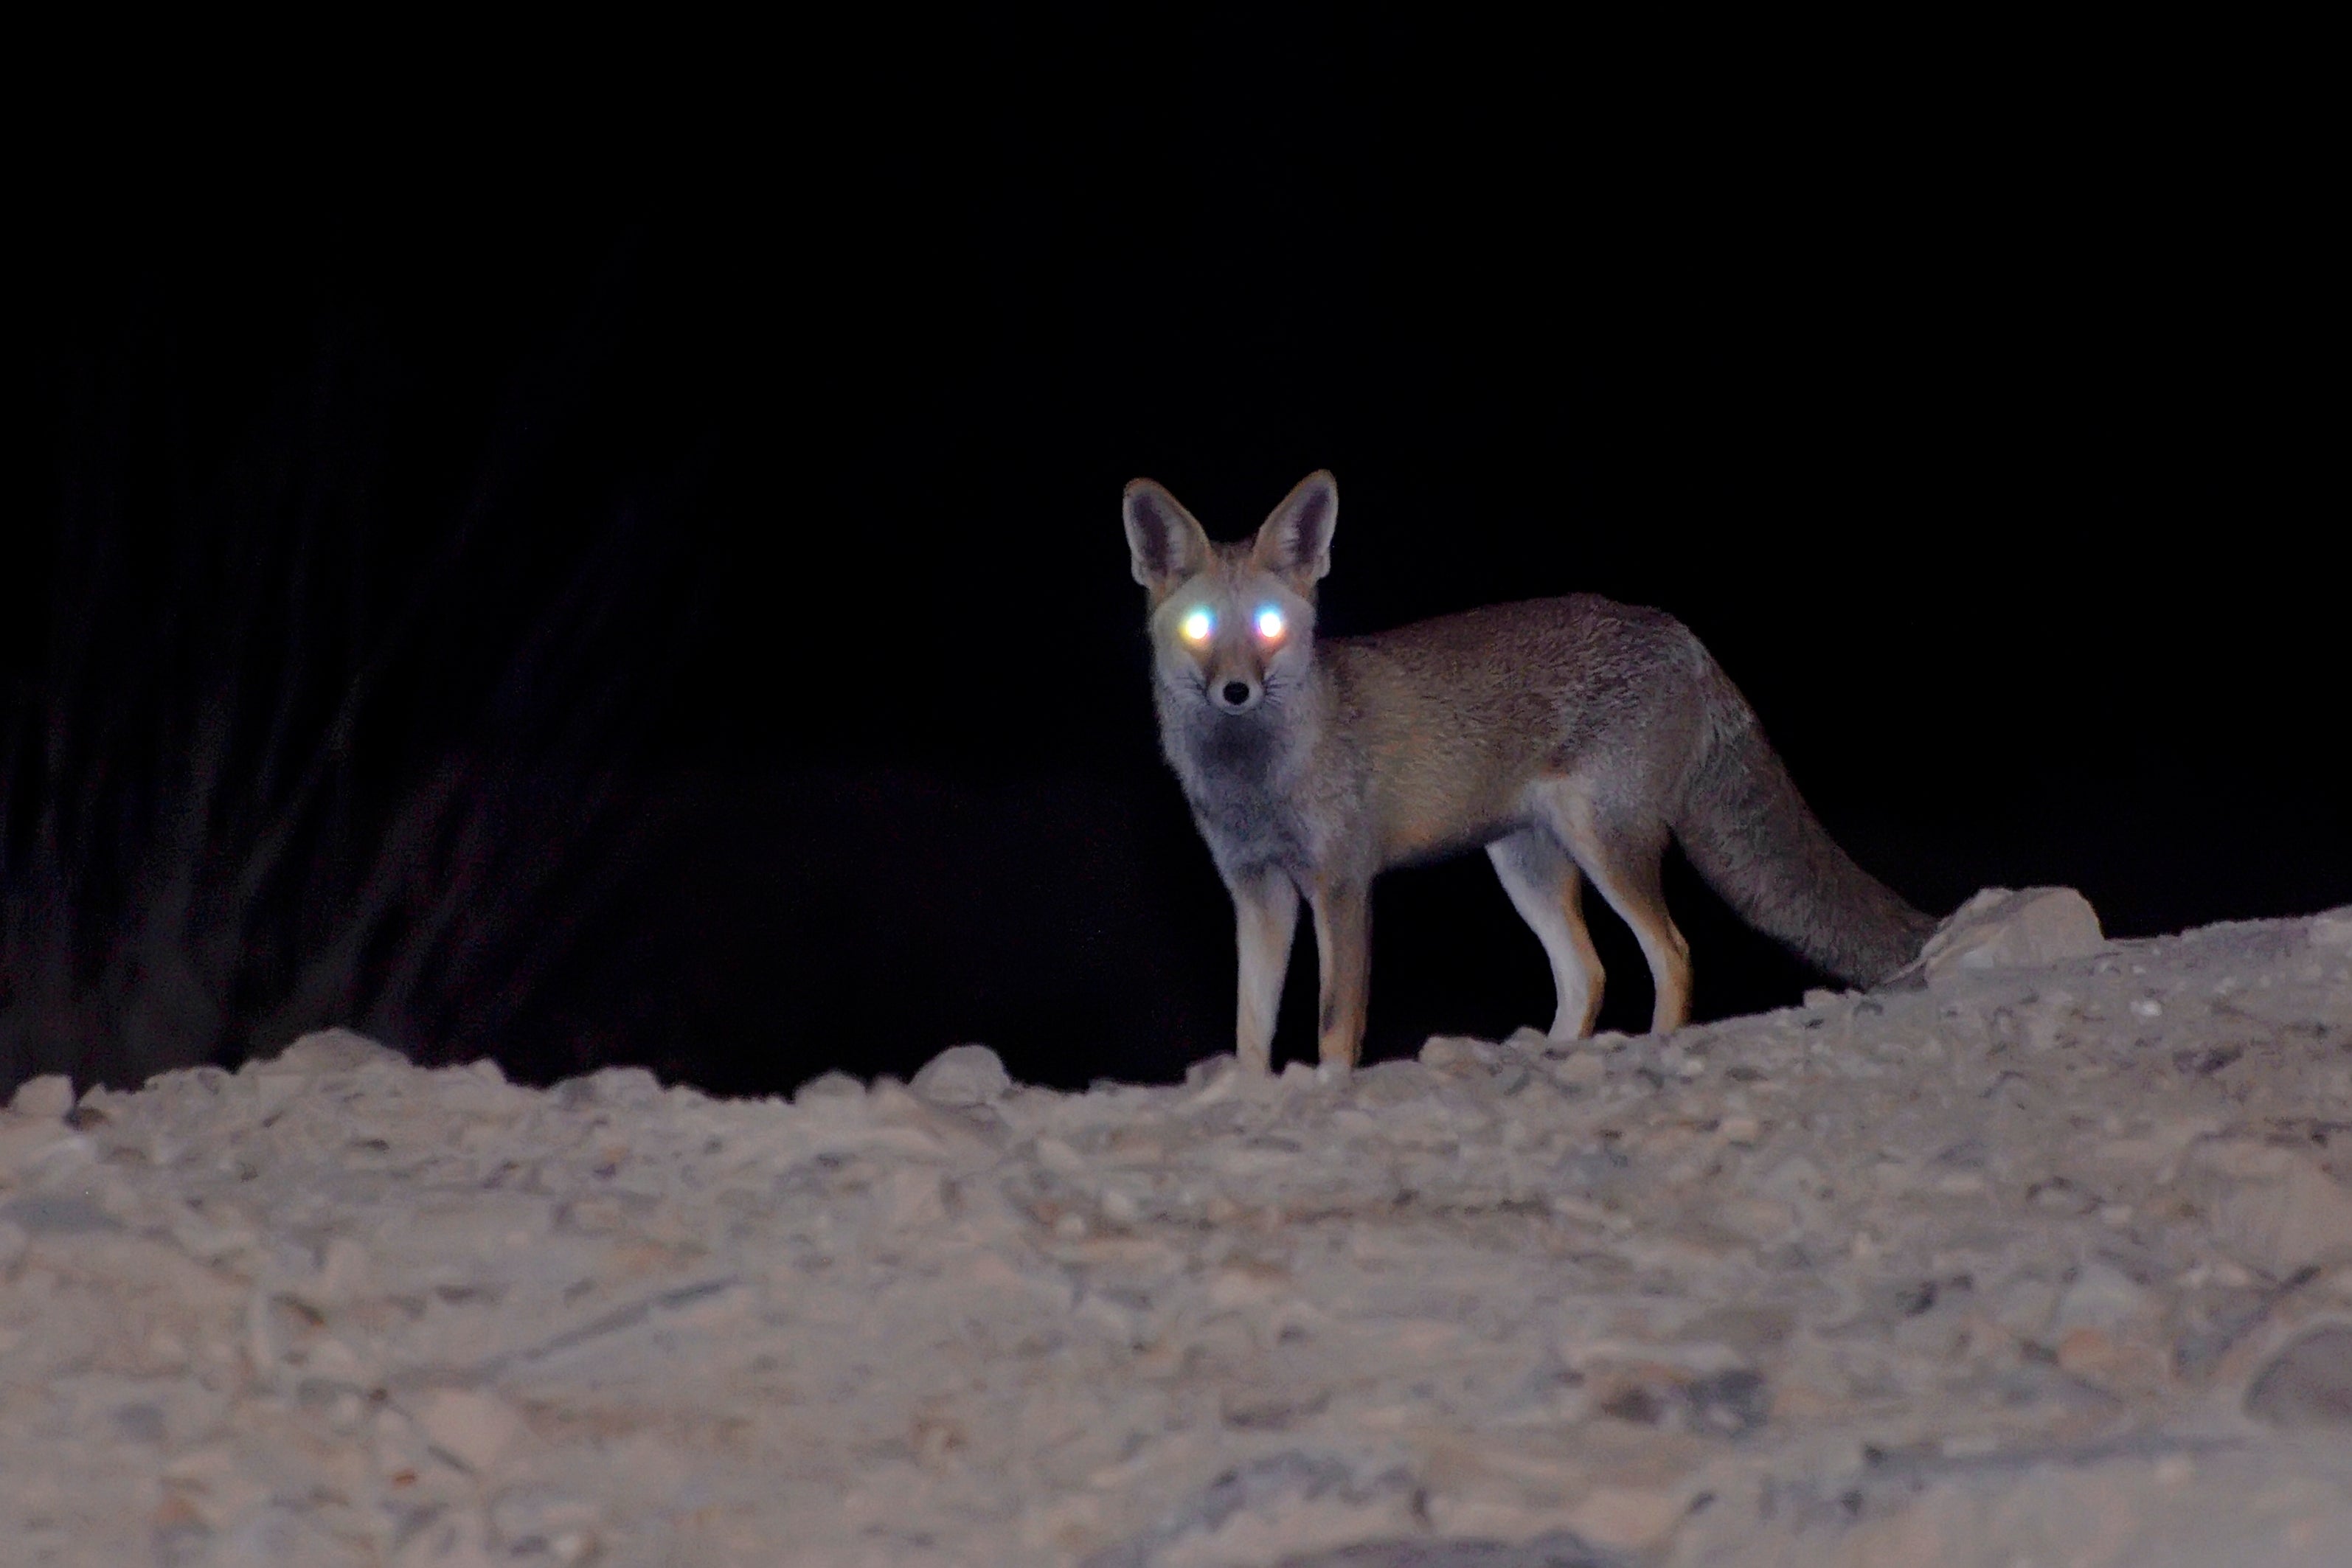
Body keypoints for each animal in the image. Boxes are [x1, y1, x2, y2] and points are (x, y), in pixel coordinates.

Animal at [1123, 469, 1940, 1074]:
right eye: (1200, 629)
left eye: (1268, 628)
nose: (1236, 692)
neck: (1255, 783)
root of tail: (1679, 631)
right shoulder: (1257, 891)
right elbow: (1250, 1029)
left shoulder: (1341, 883)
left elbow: (1332, 1023)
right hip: (1526, 866)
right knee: (1588, 974)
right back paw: (1552, 1054)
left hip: (1604, 844)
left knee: (1671, 953)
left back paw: (1653, 1047)